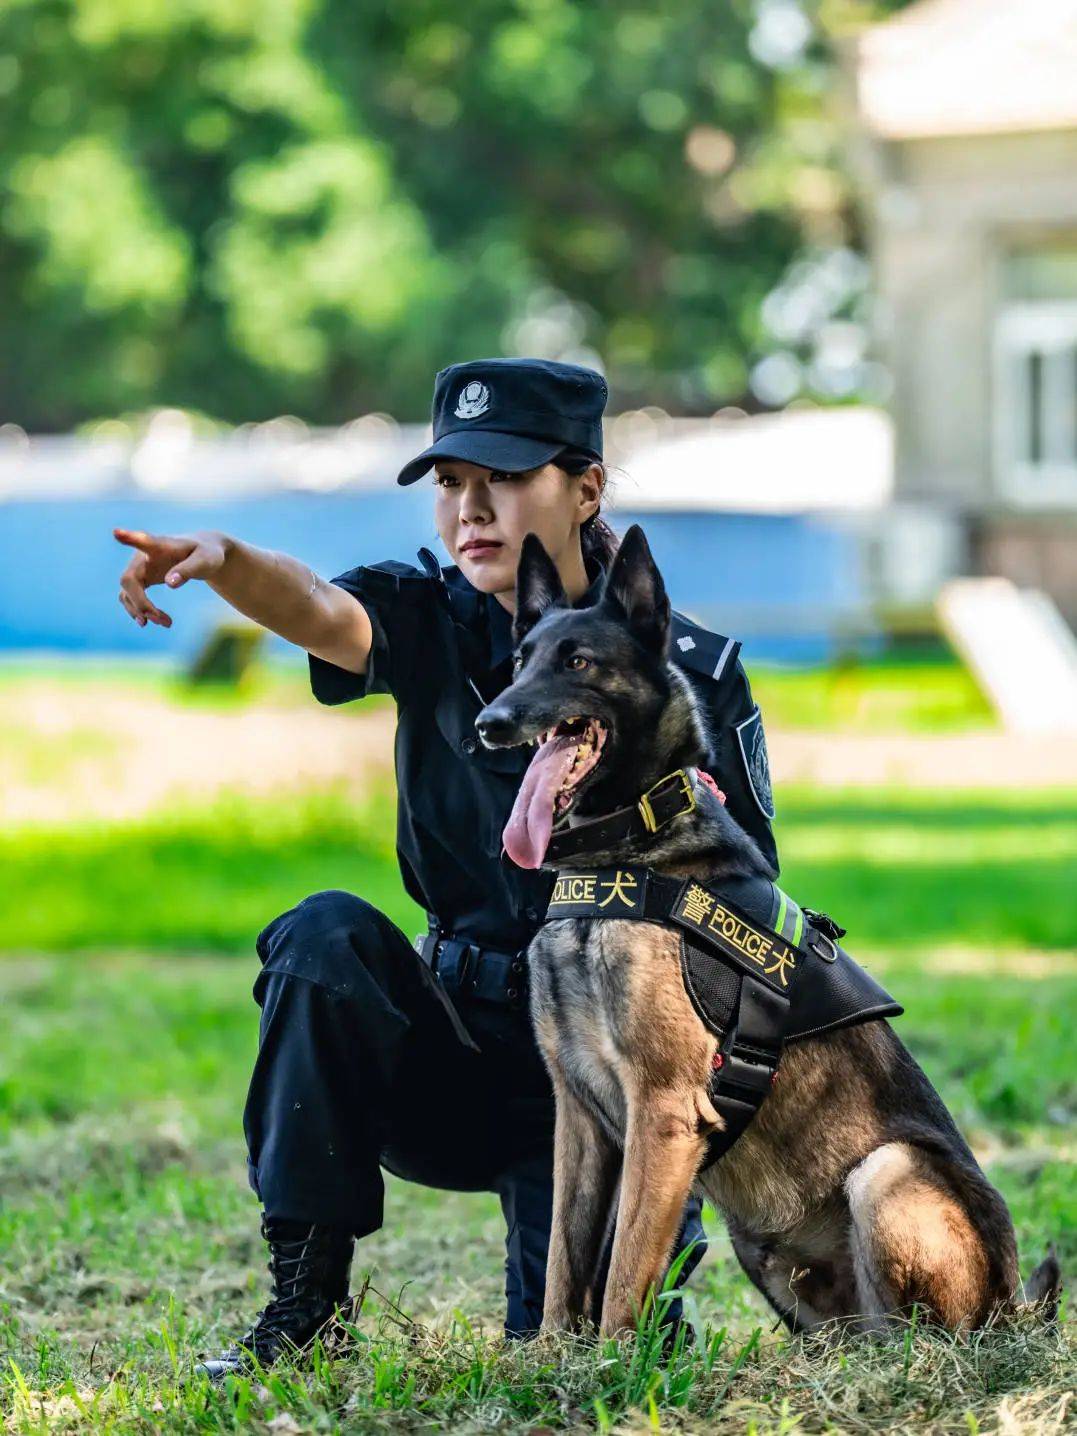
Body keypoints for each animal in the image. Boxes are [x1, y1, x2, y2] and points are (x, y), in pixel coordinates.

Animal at [479, 525, 1062, 1332]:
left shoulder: (662, 1113)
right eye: (519, 662)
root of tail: (1010, 1303)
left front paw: (611, 1363)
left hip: (885, 1171)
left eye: (578, 662)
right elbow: (563, 1272)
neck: (626, 855)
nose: (489, 723)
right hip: (764, 1248)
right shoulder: (581, 1119)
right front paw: (546, 1358)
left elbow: (622, 1281)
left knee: (922, 1333)